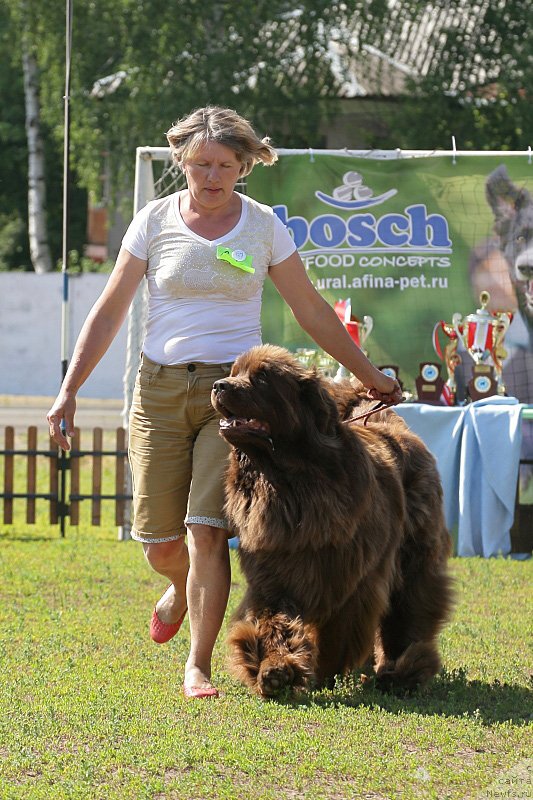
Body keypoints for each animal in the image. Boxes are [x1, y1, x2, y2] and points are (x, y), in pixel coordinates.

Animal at [210, 346, 450, 696]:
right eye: (234, 371)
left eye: (262, 377)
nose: (218, 385)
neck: (287, 482)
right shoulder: (273, 573)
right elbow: (272, 622)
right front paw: (275, 669)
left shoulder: (350, 579)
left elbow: (339, 632)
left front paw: (322, 673)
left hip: (414, 557)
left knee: (409, 612)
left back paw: (400, 671)